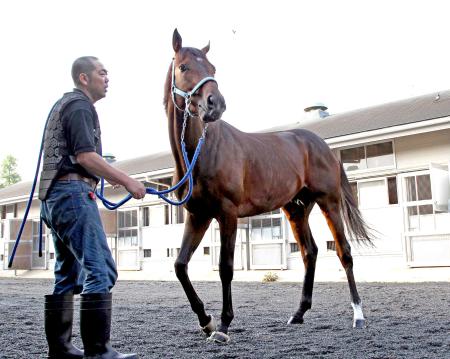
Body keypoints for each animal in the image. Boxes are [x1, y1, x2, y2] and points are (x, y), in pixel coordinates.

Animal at [164, 28, 372, 344]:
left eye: (213, 68)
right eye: (184, 67)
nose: (216, 103)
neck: (202, 151)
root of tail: (322, 146)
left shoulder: (227, 214)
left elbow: (226, 268)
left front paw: (223, 326)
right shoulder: (198, 215)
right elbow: (180, 266)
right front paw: (206, 321)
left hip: (329, 202)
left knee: (343, 252)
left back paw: (358, 315)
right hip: (296, 209)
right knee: (309, 252)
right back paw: (298, 314)